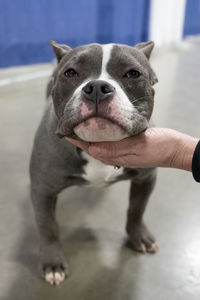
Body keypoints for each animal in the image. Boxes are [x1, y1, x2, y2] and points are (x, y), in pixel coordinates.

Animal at [29, 40, 158, 286]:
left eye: (133, 74)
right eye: (70, 73)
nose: (98, 87)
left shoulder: (146, 179)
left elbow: (137, 209)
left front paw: (138, 236)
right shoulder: (42, 190)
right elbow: (47, 227)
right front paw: (52, 263)